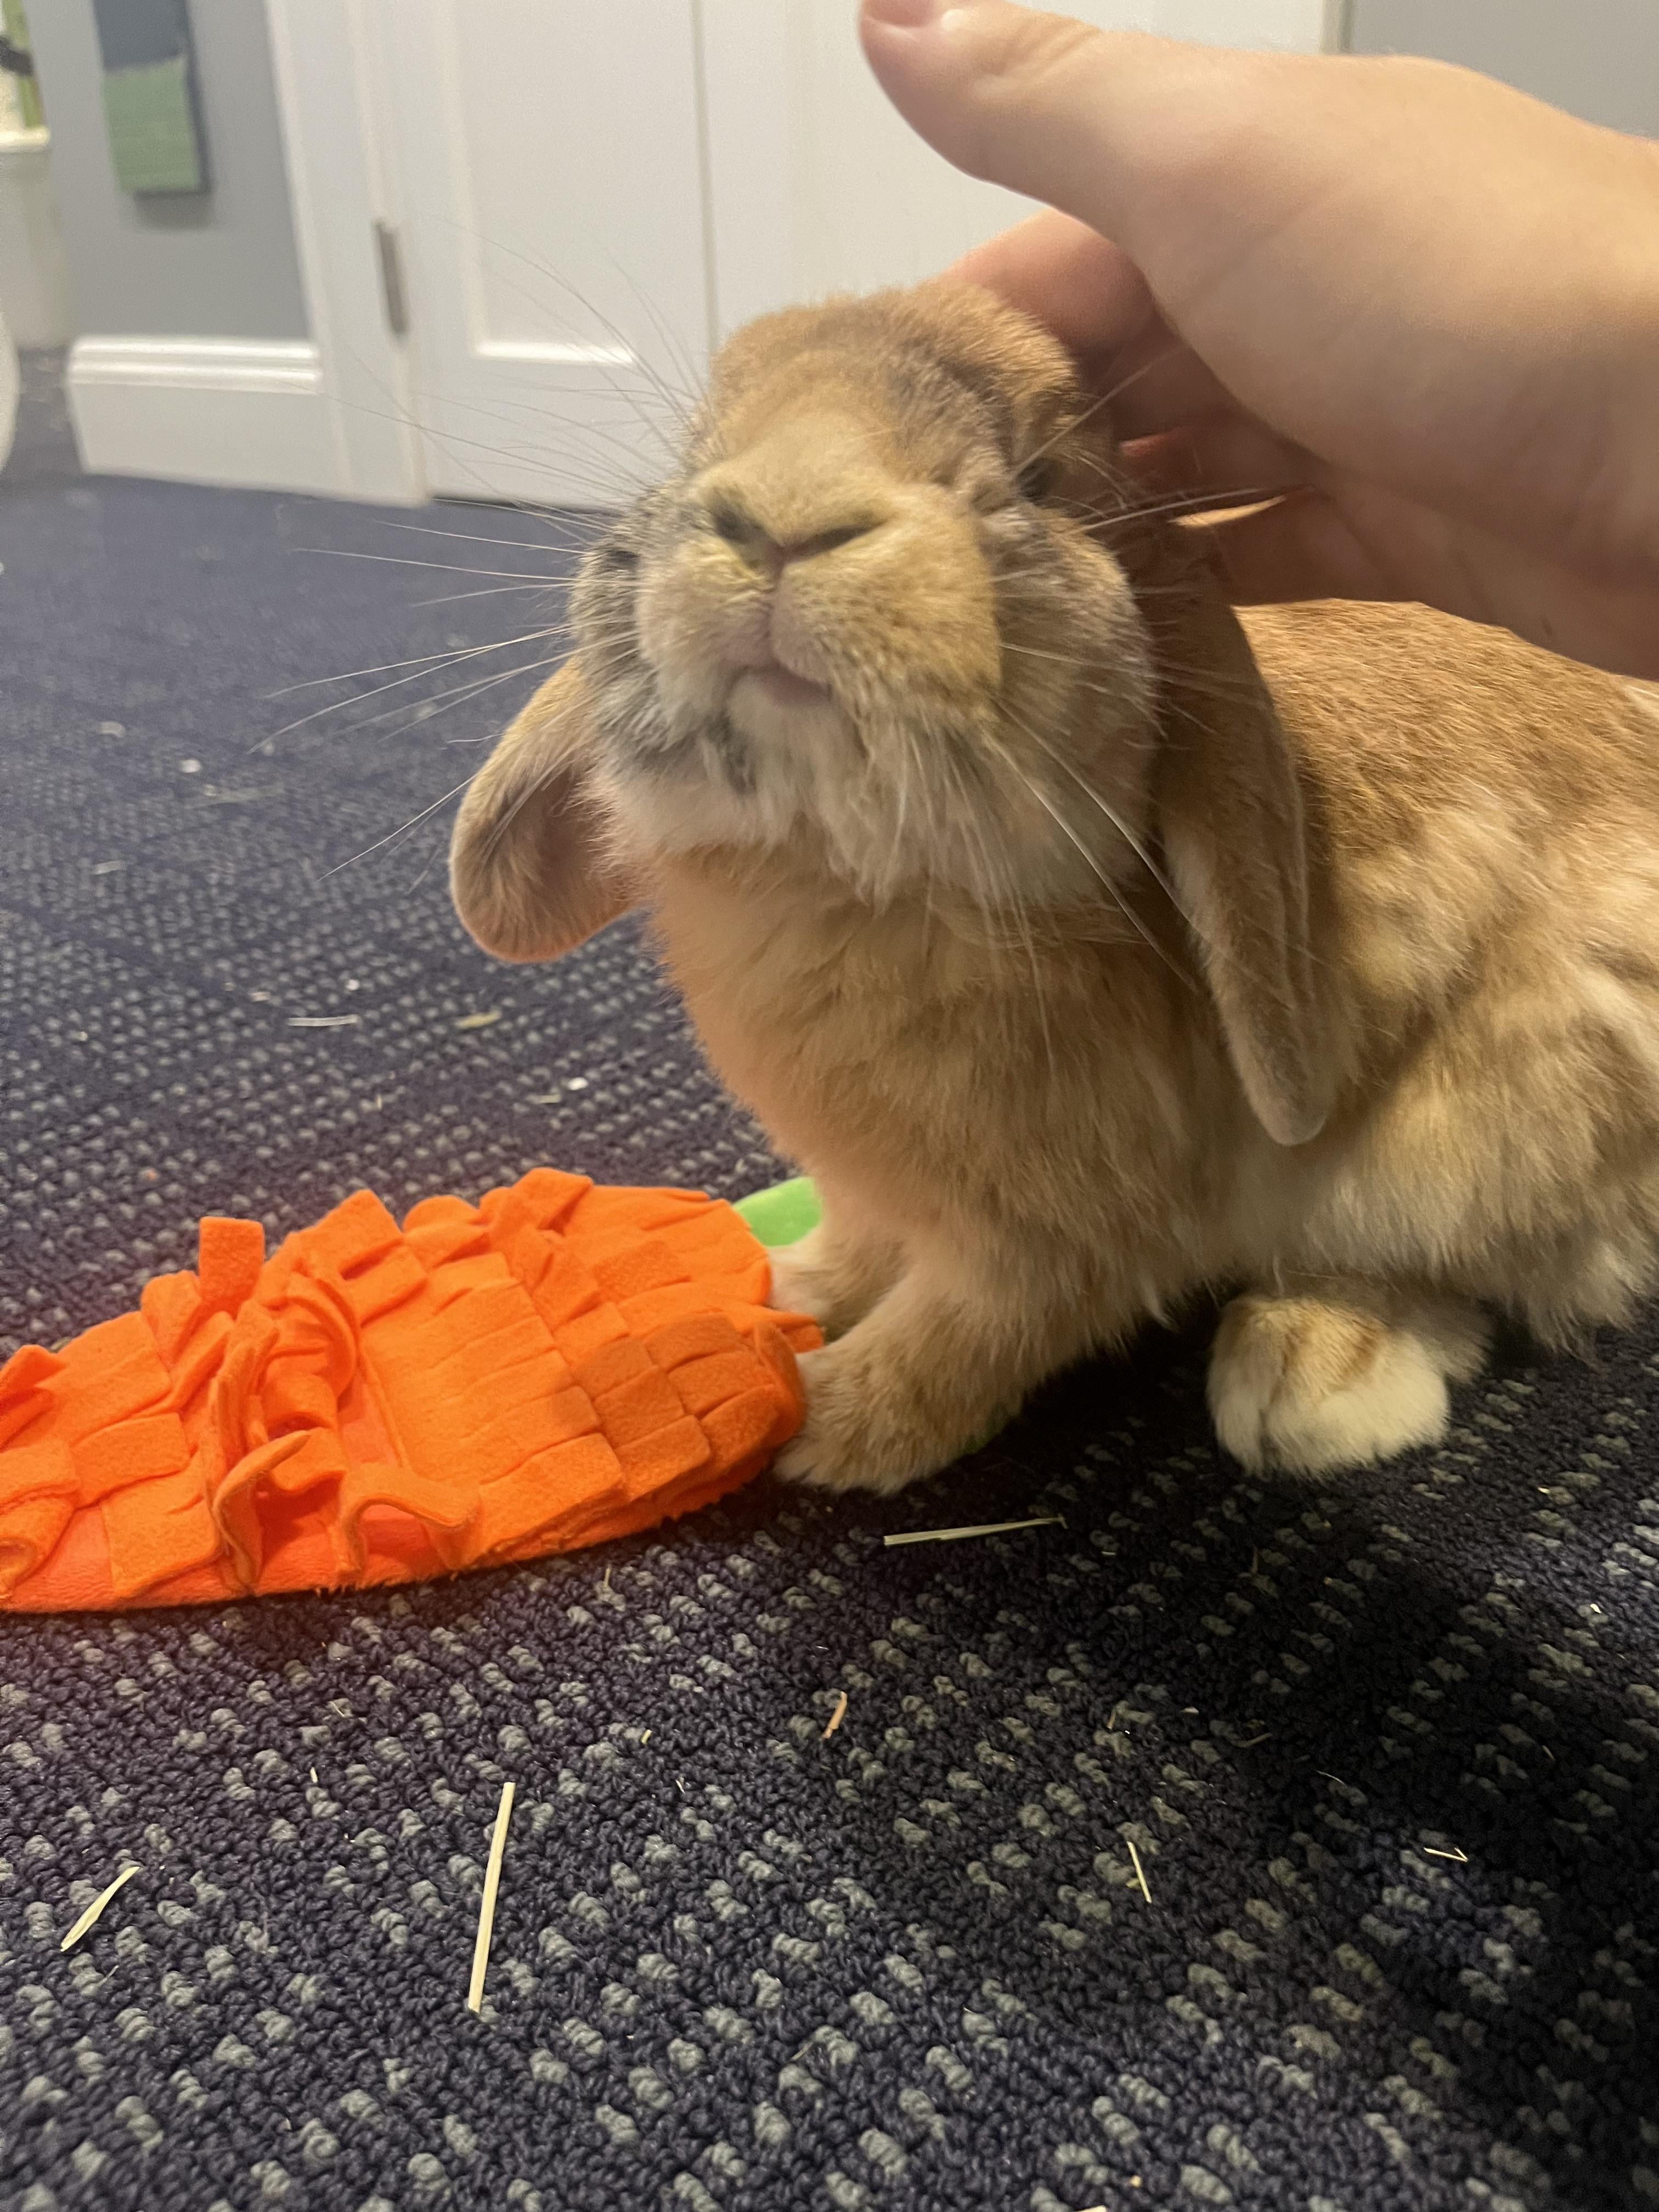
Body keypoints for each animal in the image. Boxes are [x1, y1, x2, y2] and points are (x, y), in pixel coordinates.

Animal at [450, 278, 1659, 1494]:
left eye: (1040, 478)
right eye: (701, 443)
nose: (788, 515)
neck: (847, 882)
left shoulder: (1053, 1240)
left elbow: (972, 1334)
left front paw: (819, 1420)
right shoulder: (874, 1187)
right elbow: (857, 1243)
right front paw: (786, 1286)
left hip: (1489, 1122)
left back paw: (1310, 1376)